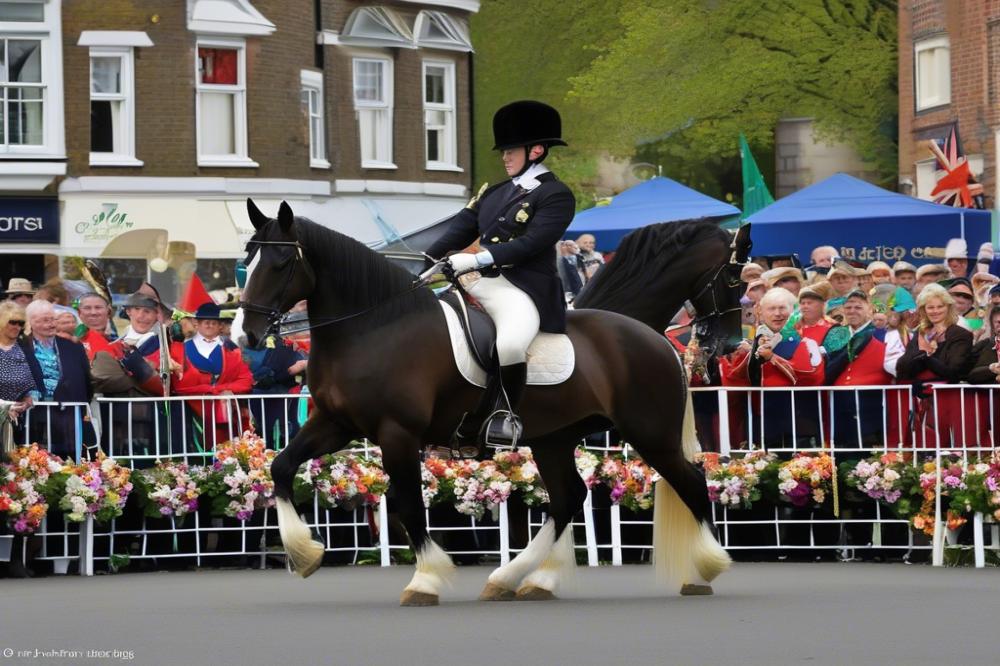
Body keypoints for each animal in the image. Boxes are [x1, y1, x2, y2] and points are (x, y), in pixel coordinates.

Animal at [234, 200, 748, 604]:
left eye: (279, 264)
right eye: (248, 260)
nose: (246, 335)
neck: (374, 326)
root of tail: (654, 339)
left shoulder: (397, 432)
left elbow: (407, 504)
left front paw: (425, 580)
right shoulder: (336, 423)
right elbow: (282, 467)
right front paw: (305, 553)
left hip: (649, 431)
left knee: (691, 482)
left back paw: (705, 567)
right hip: (555, 438)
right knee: (569, 498)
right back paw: (519, 578)